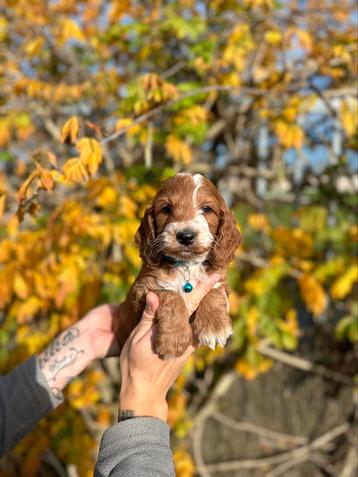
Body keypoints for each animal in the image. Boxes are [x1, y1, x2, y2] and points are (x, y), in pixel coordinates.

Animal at [115, 174, 241, 356]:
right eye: (166, 209)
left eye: (207, 209)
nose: (186, 236)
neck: (186, 265)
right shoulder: (142, 289)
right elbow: (171, 295)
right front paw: (173, 340)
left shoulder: (220, 280)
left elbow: (212, 290)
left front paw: (215, 327)